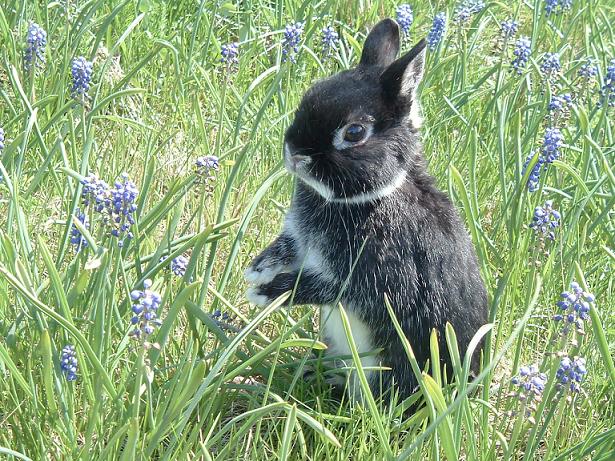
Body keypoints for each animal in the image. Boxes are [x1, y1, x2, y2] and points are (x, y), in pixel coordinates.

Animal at [243, 17, 488, 398]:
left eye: (354, 132)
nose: (294, 154)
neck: (370, 199)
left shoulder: (373, 280)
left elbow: (322, 288)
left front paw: (266, 291)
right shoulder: (298, 240)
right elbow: (285, 249)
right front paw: (256, 271)